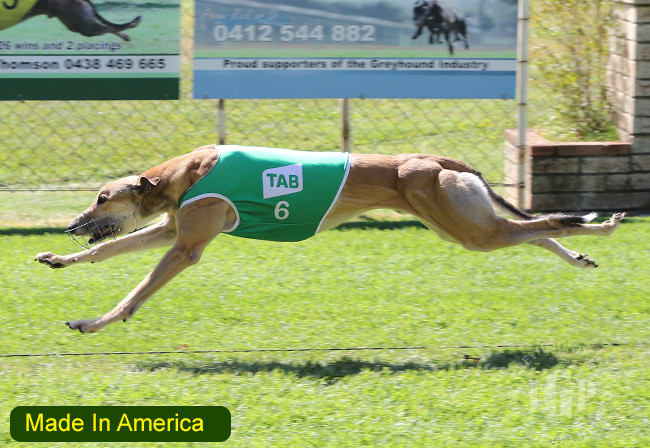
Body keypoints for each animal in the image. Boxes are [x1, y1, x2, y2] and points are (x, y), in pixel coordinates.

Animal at [1, 0, 140, 41]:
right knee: (107, 28)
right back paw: (125, 35)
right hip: (75, 24)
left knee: (108, 28)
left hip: (82, 26)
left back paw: (133, 24)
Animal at [35, 145, 626, 333]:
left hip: (463, 225)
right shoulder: (170, 230)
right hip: (464, 224)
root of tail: (438, 161)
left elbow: (134, 294)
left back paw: (596, 226)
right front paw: (57, 258)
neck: (186, 172)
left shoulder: (186, 247)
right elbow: (107, 251)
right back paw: (580, 255)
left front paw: (92, 322)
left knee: (544, 224)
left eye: (101, 198)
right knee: (531, 232)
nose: (70, 225)